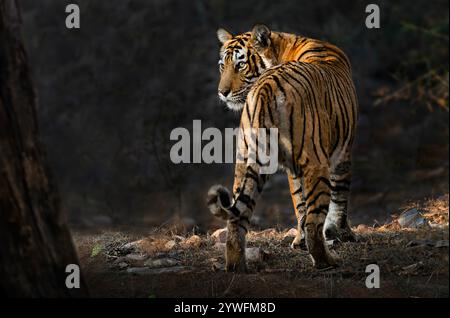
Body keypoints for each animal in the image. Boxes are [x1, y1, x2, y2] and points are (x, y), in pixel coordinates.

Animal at [207, 24, 358, 270]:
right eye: (223, 65)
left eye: (240, 64)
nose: (222, 92)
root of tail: (266, 86)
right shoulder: (342, 153)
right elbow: (338, 199)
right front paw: (343, 234)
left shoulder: (292, 168)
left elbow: (299, 203)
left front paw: (299, 241)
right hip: (317, 163)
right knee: (315, 222)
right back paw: (327, 261)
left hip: (246, 161)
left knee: (236, 219)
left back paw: (237, 266)